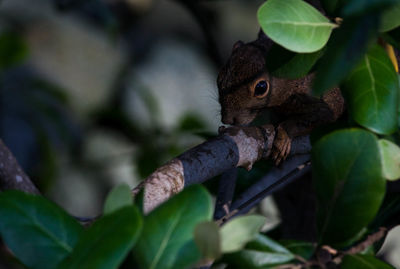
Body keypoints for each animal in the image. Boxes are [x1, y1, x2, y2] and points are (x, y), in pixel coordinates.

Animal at [217, 31, 346, 165]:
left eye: (261, 88)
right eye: (219, 78)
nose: (227, 120)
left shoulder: (322, 98)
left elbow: (315, 118)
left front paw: (283, 136)